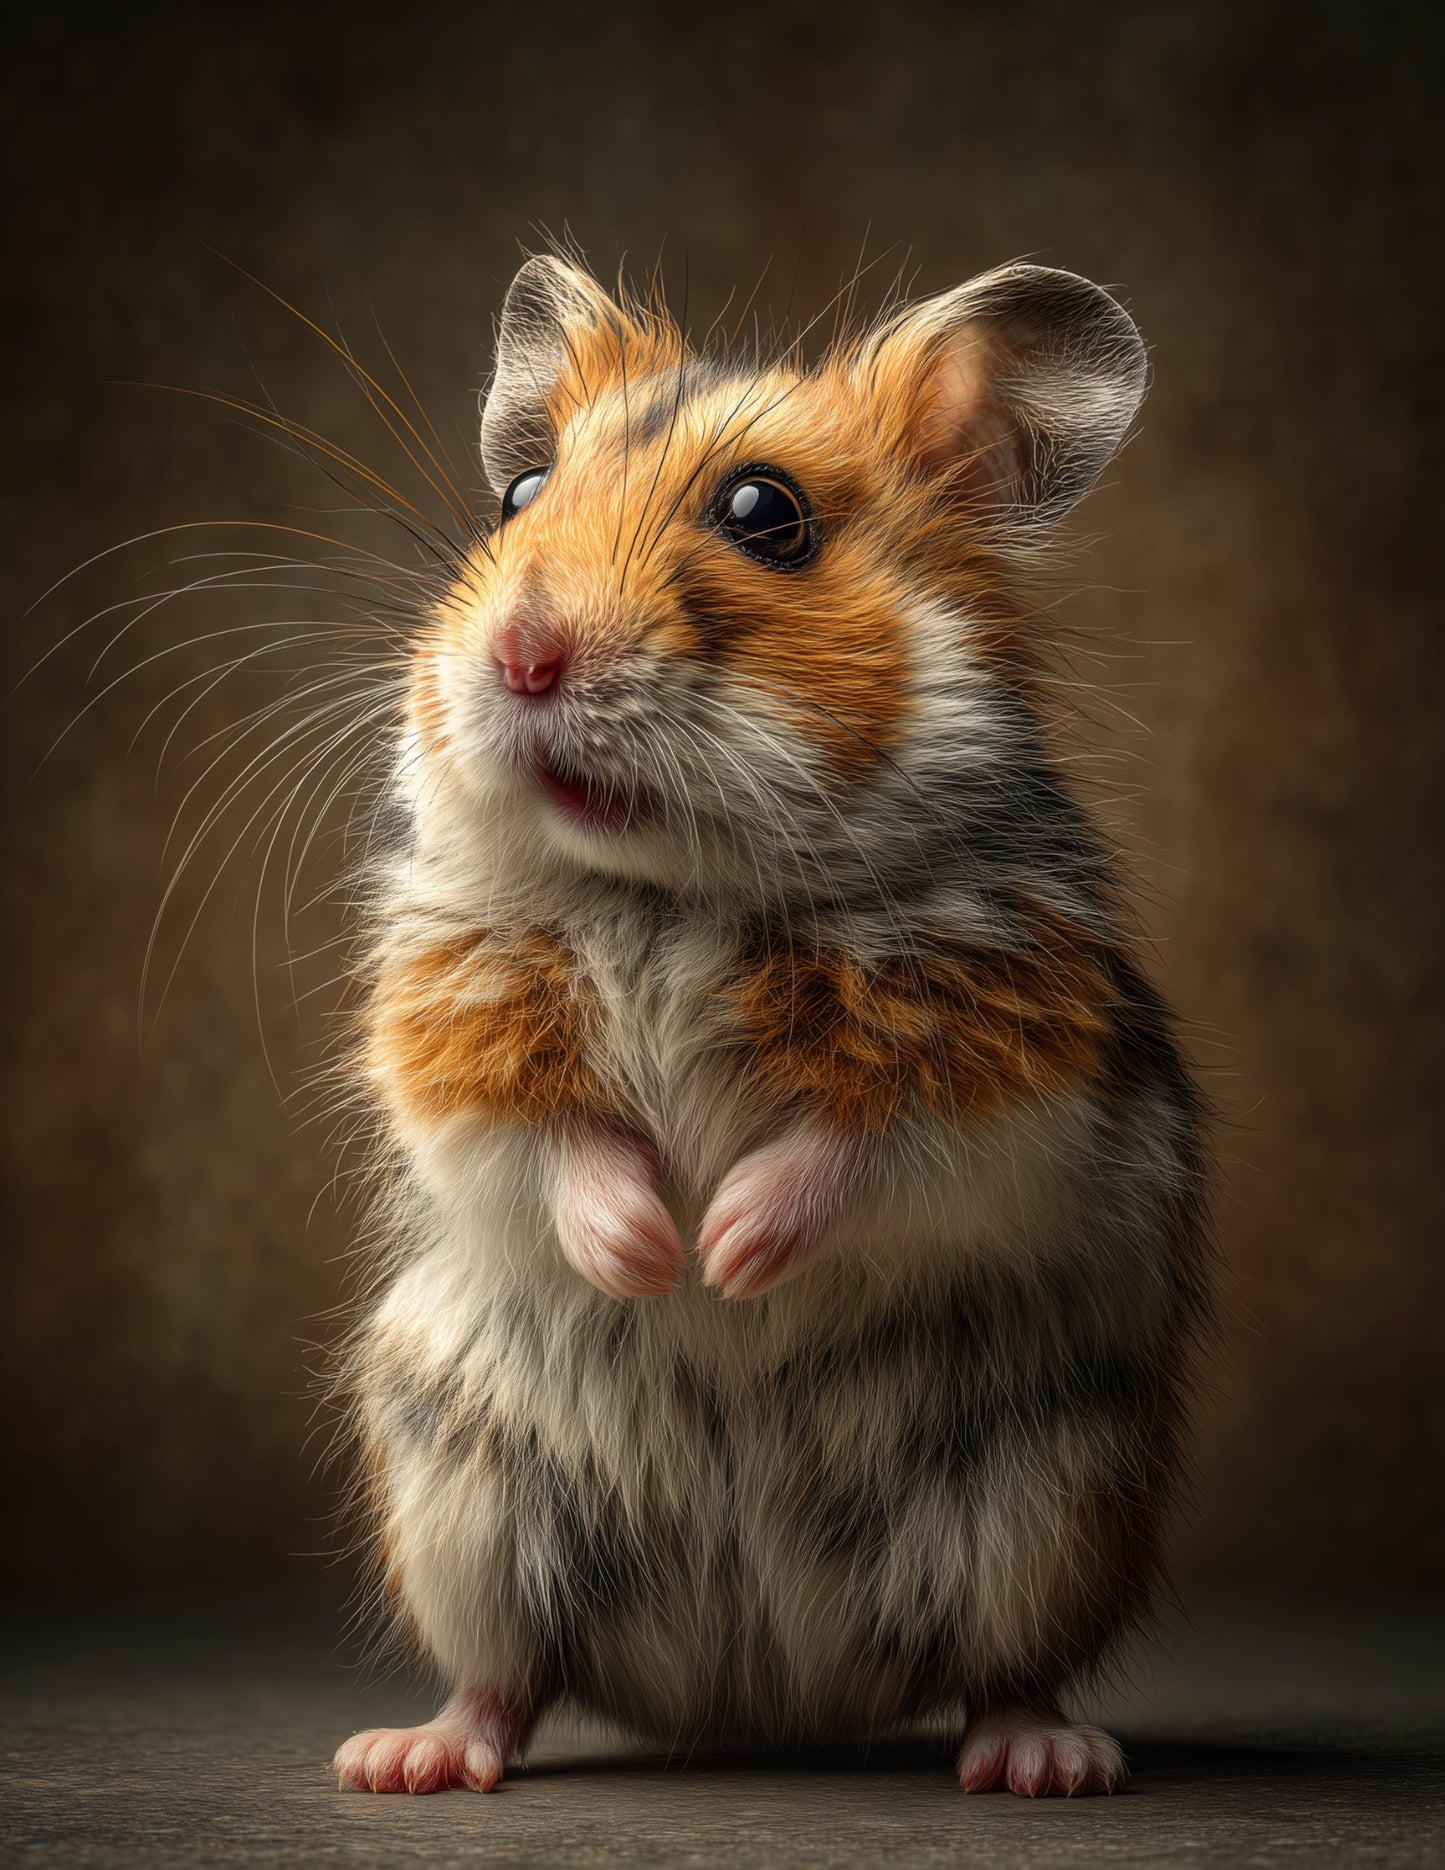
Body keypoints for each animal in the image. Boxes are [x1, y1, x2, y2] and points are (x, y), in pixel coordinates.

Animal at [329, 253, 1209, 1799]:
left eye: (763, 514)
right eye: (516, 497)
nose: (519, 654)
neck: (674, 889)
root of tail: (758, 1699)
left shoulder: (1009, 1045)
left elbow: (858, 1151)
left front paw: (728, 1255)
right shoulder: (448, 1018)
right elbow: (550, 1143)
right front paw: (650, 1255)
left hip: (1045, 1493)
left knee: (1002, 1664)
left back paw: (1045, 1761)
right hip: (461, 1488)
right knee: (507, 1675)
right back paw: (402, 1758)